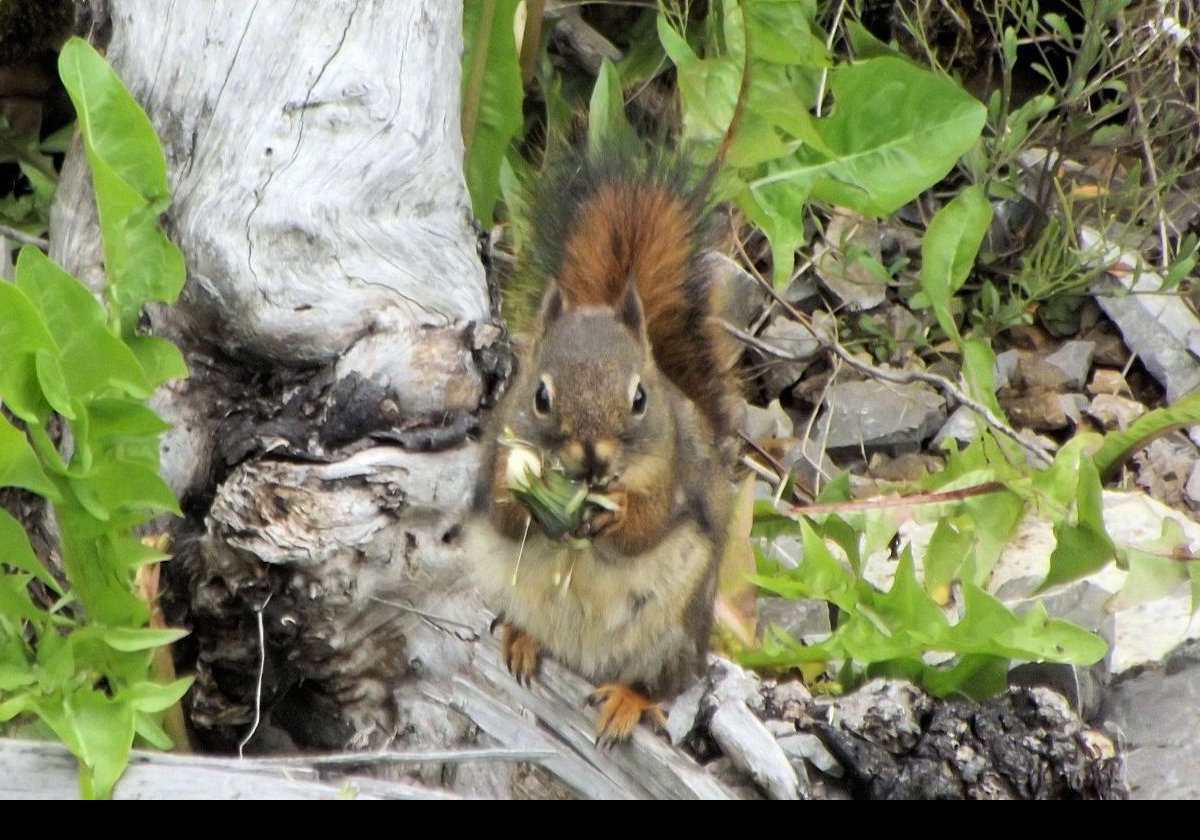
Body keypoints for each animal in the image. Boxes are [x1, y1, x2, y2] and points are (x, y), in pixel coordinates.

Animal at [463, 145, 734, 748]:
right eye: (540, 396)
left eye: (640, 398)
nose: (593, 458)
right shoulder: (495, 456)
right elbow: (502, 514)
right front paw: (531, 507)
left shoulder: (675, 473)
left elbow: (649, 526)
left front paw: (618, 516)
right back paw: (522, 640)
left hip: (674, 633)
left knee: (661, 684)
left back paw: (627, 703)